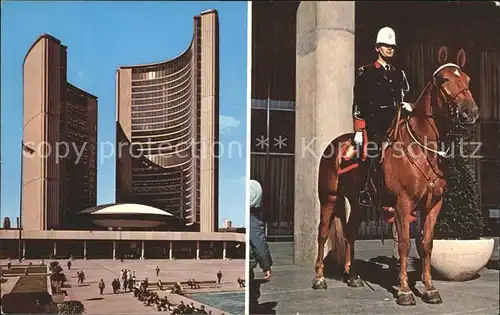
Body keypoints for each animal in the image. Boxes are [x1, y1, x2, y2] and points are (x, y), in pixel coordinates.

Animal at [312, 47, 480, 306]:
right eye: (443, 80)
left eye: (468, 80)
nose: (469, 113)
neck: (421, 148)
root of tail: (334, 145)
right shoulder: (403, 204)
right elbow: (404, 245)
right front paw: (404, 290)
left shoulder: (433, 204)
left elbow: (426, 244)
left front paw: (429, 288)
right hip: (328, 198)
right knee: (322, 234)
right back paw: (319, 277)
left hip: (359, 204)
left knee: (350, 233)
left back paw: (352, 276)